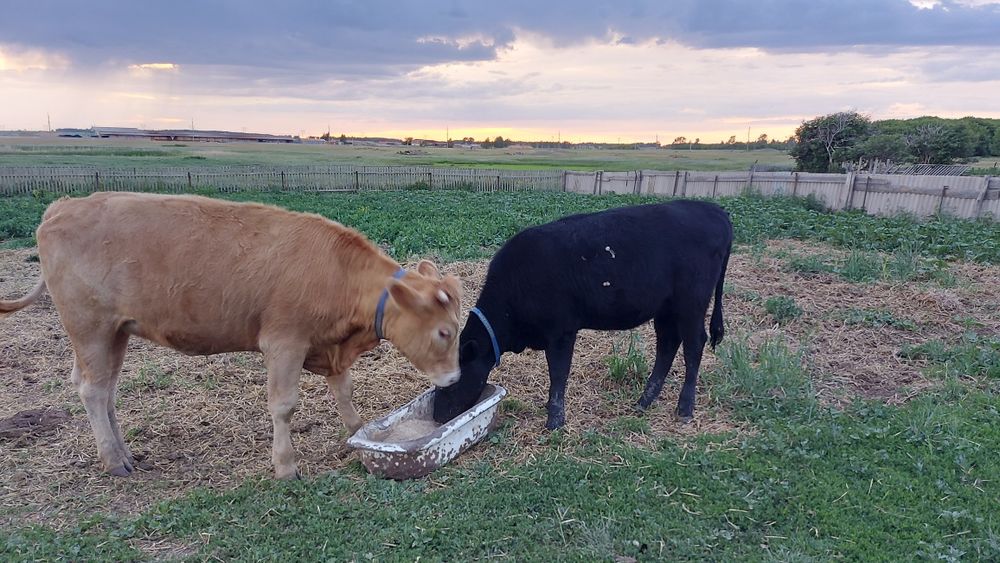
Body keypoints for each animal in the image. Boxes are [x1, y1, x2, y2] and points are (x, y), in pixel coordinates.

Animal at [0, 192, 462, 479]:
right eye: (443, 331)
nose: (456, 378)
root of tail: (63, 206)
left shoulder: (328, 344)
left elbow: (344, 393)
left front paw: (357, 434)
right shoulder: (284, 342)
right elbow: (283, 406)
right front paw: (285, 466)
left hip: (116, 332)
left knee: (106, 390)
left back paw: (124, 453)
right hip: (90, 328)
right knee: (93, 391)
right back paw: (114, 460)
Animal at [433, 199, 733, 429]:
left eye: (452, 383)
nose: (437, 417)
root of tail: (714, 210)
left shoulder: (561, 331)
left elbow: (558, 373)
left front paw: (555, 419)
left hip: (691, 303)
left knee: (694, 345)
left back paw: (685, 407)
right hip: (665, 308)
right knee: (667, 345)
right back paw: (644, 401)